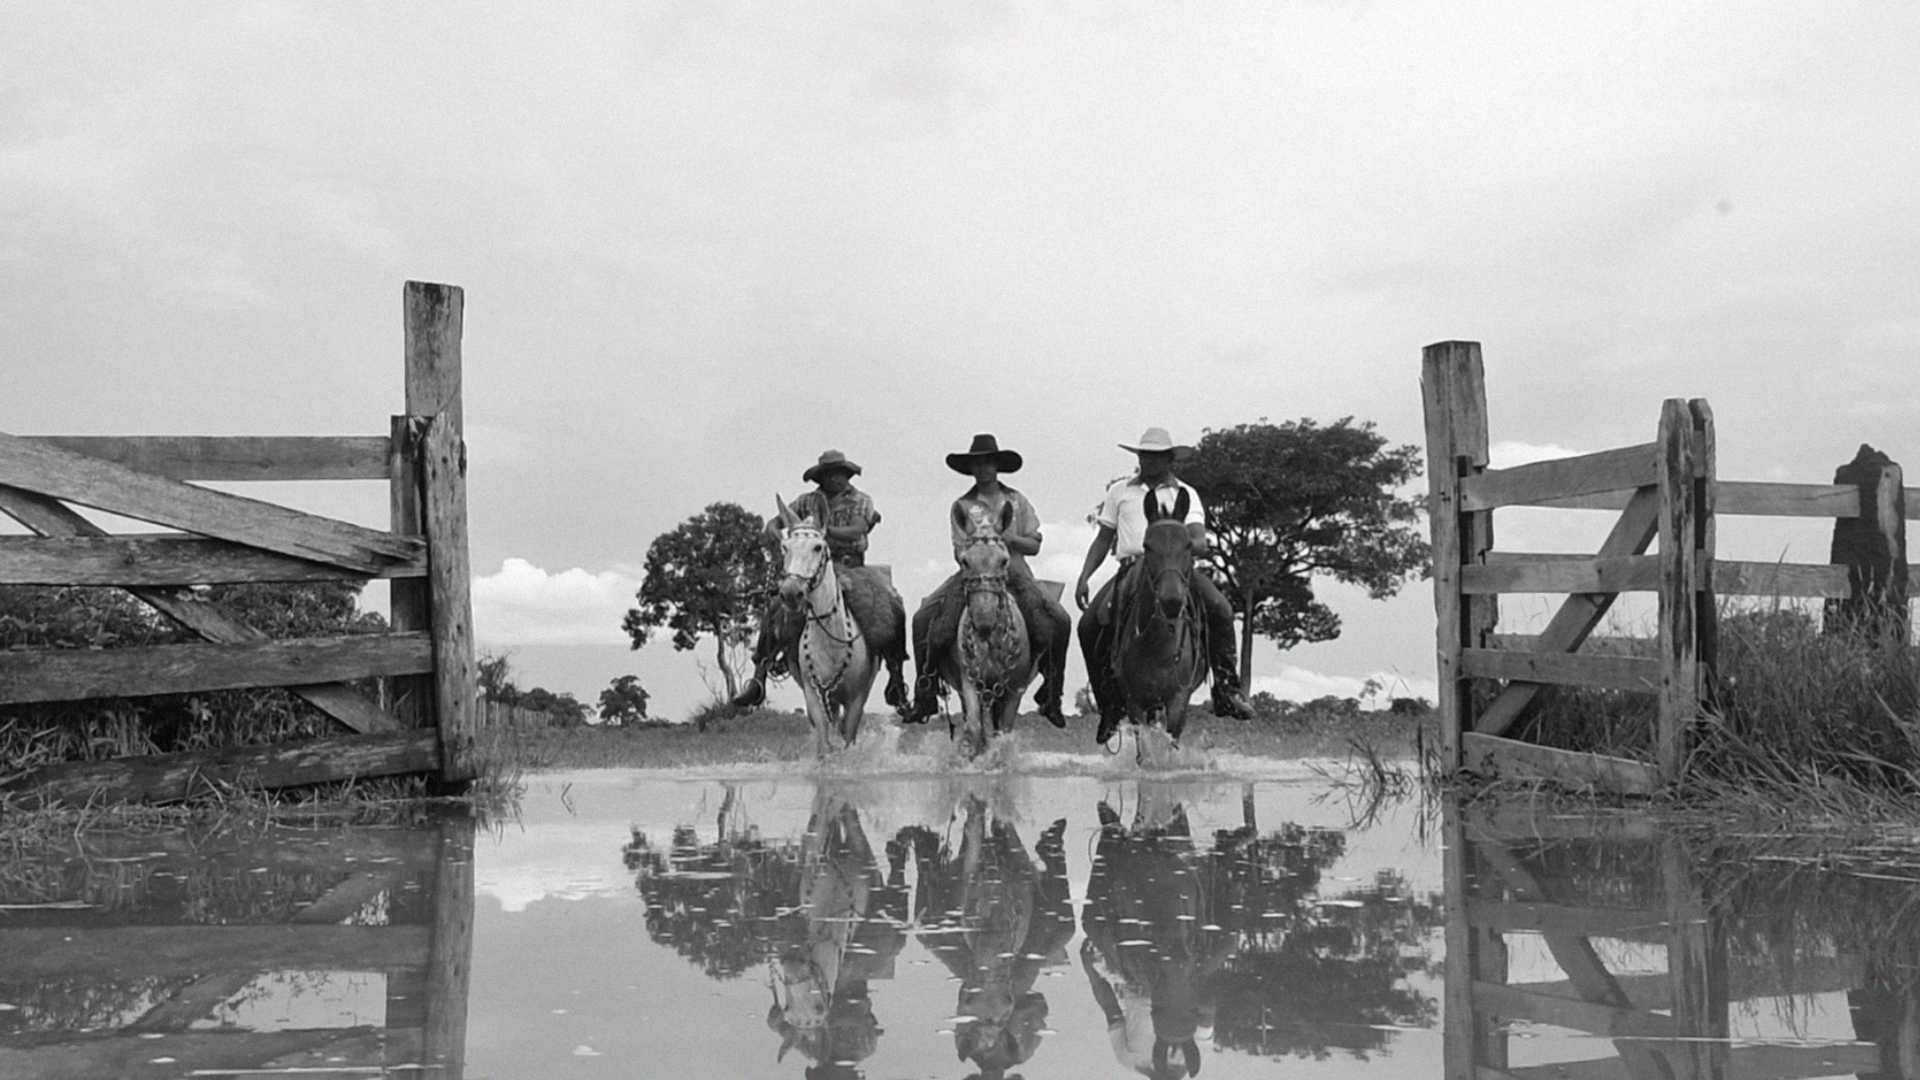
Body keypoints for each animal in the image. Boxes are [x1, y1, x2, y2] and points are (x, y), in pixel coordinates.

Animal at [1105, 518, 1205, 745]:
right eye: (1147, 546)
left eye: (1188, 545)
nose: (1171, 602)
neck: (1157, 646)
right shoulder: (1135, 703)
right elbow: (1145, 744)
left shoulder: (1178, 700)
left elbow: (1170, 740)